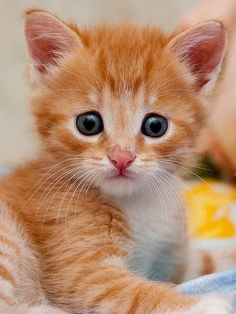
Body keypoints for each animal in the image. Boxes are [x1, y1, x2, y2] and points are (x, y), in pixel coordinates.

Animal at [0, 9, 233, 314]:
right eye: (88, 123)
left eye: (155, 126)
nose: (121, 158)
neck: (140, 202)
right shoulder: (81, 269)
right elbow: (134, 293)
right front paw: (206, 303)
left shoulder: (174, 259)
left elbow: (205, 260)